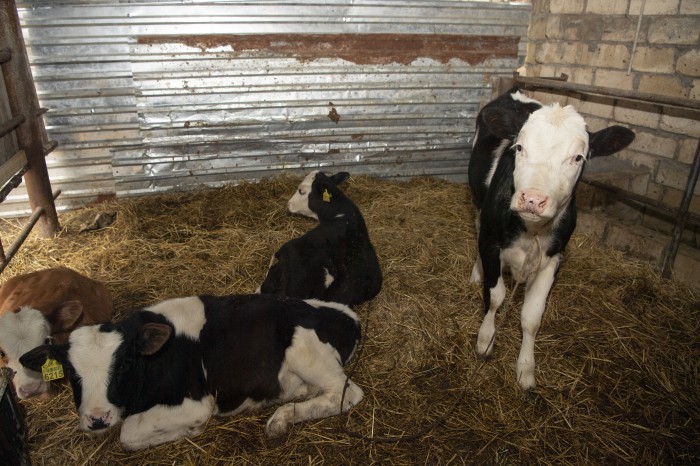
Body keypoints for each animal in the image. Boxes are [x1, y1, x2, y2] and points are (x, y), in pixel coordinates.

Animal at [19, 294, 364, 450]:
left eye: (123, 365)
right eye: (70, 372)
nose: (97, 418)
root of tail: (342, 312)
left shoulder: (194, 403)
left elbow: (129, 433)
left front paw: (187, 431)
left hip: (305, 350)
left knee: (345, 393)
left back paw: (281, 420)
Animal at [470, 86, 636, 390]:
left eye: (578, 157)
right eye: (519, 147)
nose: (533, 199)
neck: (531, 229)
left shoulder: (553, 258)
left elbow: (532, 317)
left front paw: (526, 368)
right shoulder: (490, 243)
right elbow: (496, 296)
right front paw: (486, 339)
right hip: (477, 204)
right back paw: (476, 272)